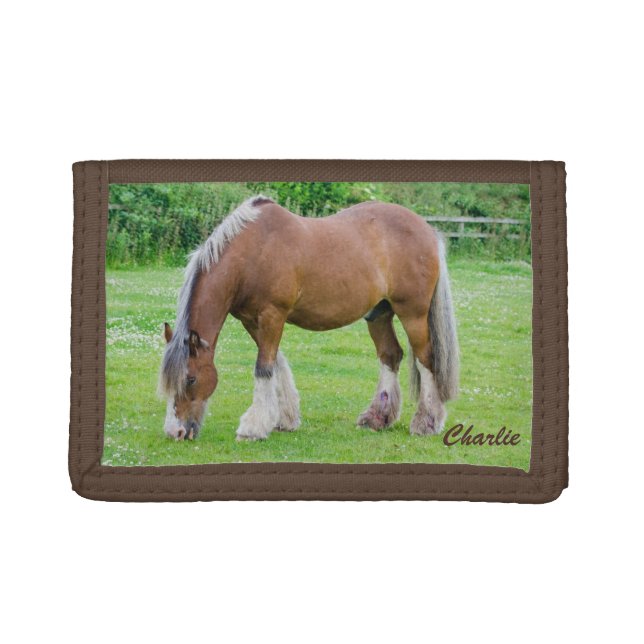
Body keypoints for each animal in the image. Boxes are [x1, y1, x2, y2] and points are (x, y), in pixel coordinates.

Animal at [159, 195, 459, 441]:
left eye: (190, 379)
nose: (176, 432)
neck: (253, 252)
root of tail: (428, 230)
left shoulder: (272, 315)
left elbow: (263, 367)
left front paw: (253, 427)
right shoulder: (252, 321)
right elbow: (275, 362)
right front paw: (285, 419)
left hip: (413, 314)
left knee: (426, 359)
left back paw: (426, 422)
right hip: (379, 314)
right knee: (390, 356)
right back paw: (377, 418)